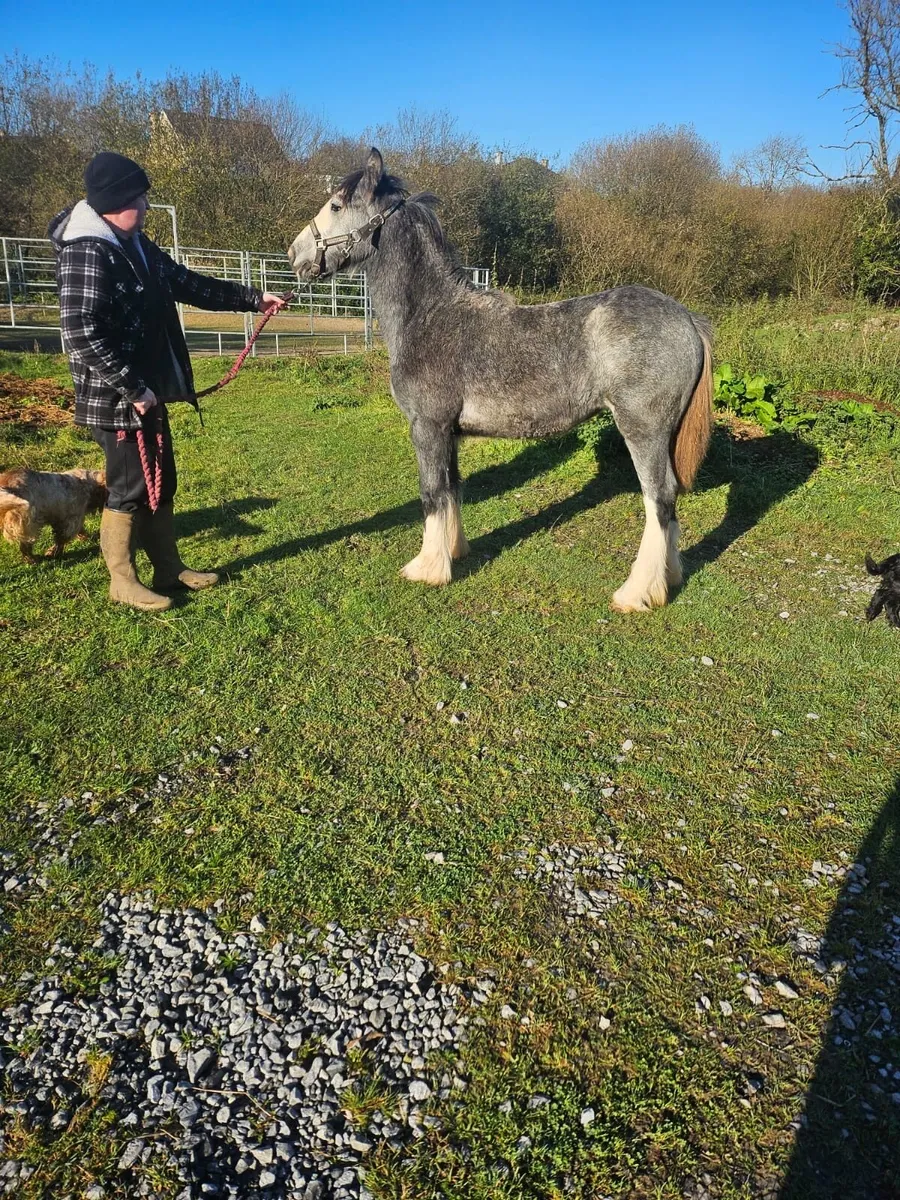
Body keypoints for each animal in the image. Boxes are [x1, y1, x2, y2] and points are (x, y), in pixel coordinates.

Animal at [287, 149, 713, 612]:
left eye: (336, 206)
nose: (294, 255)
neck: (430, 314)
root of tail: (687, 318)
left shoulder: (427, 427)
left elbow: (431, 493)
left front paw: (427, 569)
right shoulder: (449, 432)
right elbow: (452, 489)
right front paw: (454, 552)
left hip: (643, 430)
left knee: (659, 498)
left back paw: (637, 592)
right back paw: (668, 579)